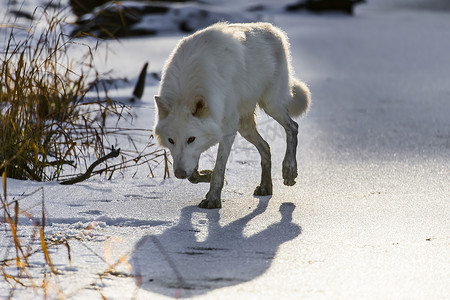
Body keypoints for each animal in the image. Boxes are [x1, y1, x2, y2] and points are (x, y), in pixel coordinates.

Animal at [155, 22, 310, 209]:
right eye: (171, 141)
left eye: (191, 139)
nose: (178, 174)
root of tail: (273, 29)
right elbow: (193, 175)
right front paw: (206, 175)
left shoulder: (227, 130)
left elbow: (219, 169)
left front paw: (213, 199)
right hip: (245, 127)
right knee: (266, 147)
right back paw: (266, 187)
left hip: (271, 105)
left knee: (293, 127)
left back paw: (289, 170)